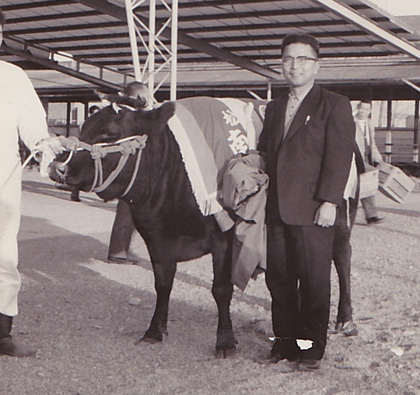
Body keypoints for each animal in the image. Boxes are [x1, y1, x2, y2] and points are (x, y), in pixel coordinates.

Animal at [50, 103, 236, 358]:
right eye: (83, 126)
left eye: (110, 132)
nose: (57, 167)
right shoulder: (158, 239)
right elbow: (163, 285)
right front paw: (154, 331)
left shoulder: (224, 238)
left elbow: (221, 289)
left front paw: (225, 342)